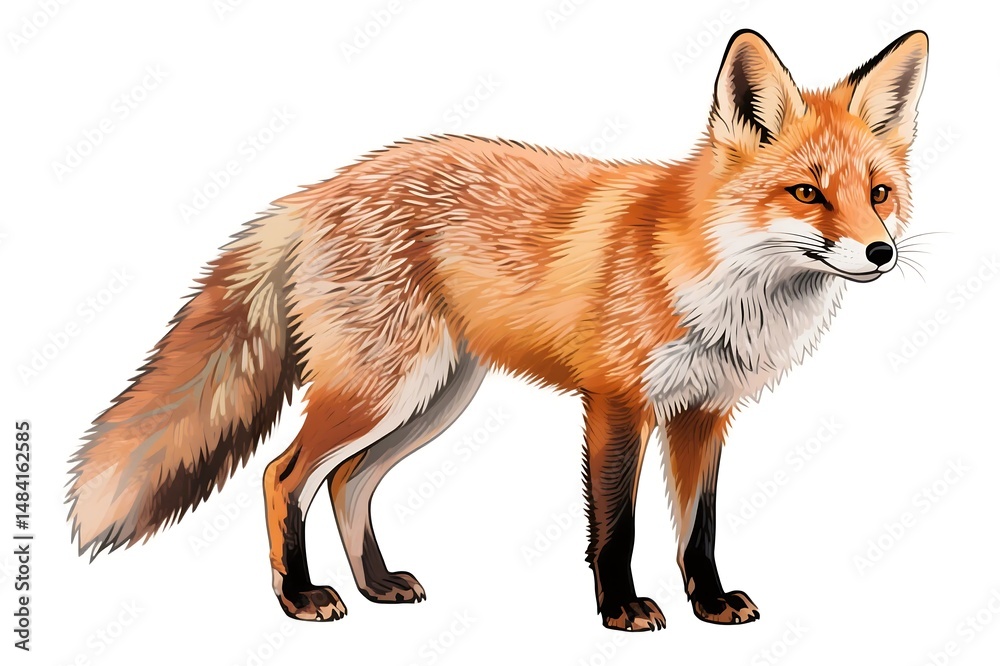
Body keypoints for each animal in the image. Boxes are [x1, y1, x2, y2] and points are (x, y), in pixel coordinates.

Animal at [67, 29, 928, 631]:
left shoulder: (703, 414)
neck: (724, 286)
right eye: (807, 193)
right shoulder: (617, 404)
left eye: (879, 193)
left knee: (348, 482)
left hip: (433, 400)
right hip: (381, 391)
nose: (881, 252)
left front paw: (710, 608)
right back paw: (300, 597)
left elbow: (700, 532)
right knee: (284, 475)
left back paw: (376, 585)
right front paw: (620, 610)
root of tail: (314, 191)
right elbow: (616, 527)